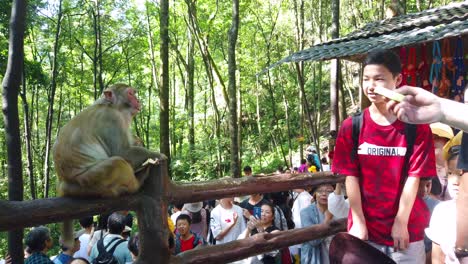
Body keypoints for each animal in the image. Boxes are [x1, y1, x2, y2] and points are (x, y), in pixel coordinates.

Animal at [51, 83, 163, 249]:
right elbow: (122, 152)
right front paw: (157, 155)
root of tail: (63, 183)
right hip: (90, 183)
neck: (111, 106)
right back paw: (137, 183)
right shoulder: (112, 120)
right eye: (130, 93)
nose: (137, 100)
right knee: (117, 162)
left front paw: (139, 141)